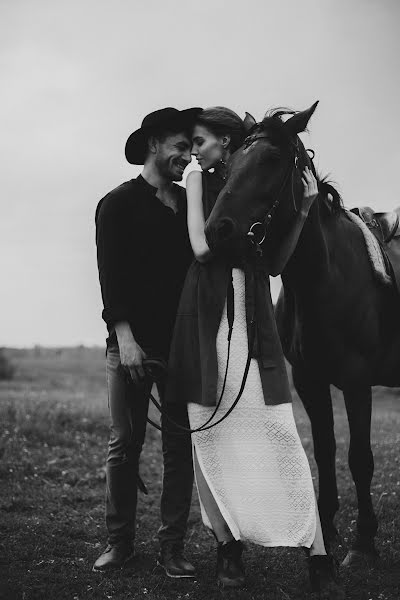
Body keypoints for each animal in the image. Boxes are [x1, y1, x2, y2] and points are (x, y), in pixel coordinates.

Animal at [205, 102, 400, 568]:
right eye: (229, 165)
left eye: (272, 160)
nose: (217, 230)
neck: (326, 276)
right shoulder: (310, 382)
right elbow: (326, 452)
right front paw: (326, 531)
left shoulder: (357, 382)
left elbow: (359, 457)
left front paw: (364, 543)